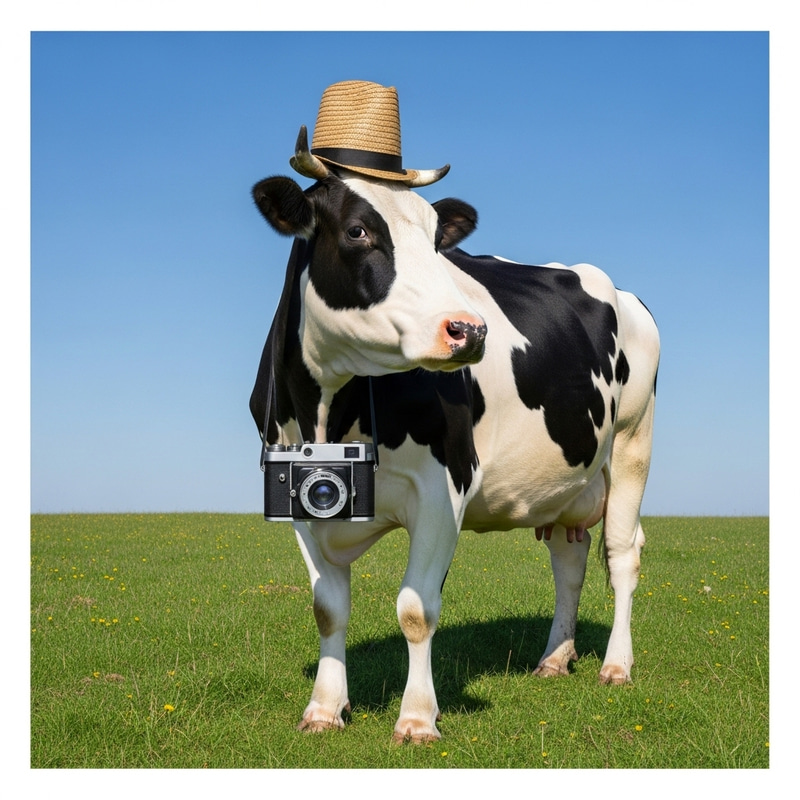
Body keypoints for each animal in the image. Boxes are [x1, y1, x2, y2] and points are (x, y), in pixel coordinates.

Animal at [249, 115, 659, 744]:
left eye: (436, 240)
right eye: (358, 230)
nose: (470, 329)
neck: (329, 412)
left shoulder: (444, 487)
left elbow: (417, 609)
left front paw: (418, 718)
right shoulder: (293, 494)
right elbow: (328, 609)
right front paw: (324, 709)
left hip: (634, 445)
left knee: (622, 553)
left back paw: (616, 666)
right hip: (567, 478)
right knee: (570, 558)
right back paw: (554, 658)